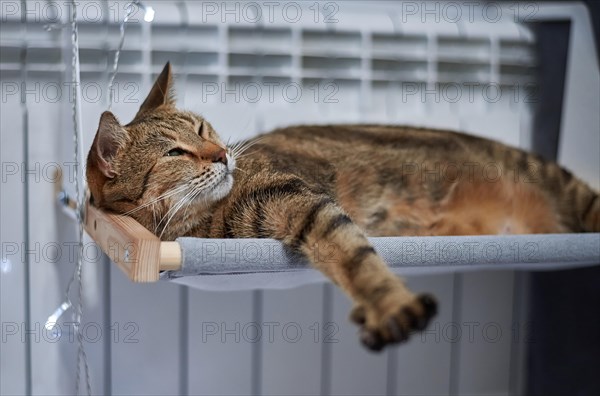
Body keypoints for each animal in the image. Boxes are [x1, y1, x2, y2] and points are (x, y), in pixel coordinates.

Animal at [85, 63, 600, 352]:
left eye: (201, 128)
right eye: (176, 152)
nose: (223, 154)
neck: (202, 221)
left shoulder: (303, 201)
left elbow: (356, 259)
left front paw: (389, 305)